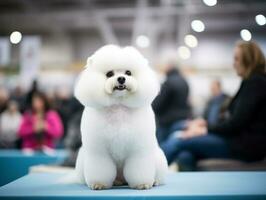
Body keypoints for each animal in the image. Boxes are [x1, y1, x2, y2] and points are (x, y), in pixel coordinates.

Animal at [74, 44, 167, 190]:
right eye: (109, 74)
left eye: (128, 72)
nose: (121, 78)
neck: (118, 105)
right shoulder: (98, 151)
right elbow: (100, 166)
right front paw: (99, 184)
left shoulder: (139, 149)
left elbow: (139, 165)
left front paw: (142, 184)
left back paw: (155, 181)